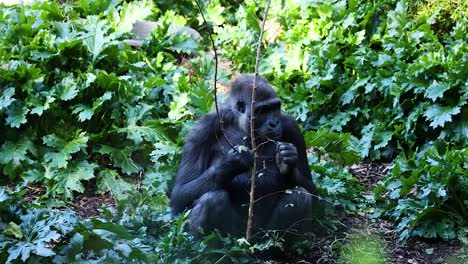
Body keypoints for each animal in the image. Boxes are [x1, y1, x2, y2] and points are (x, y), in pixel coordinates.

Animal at [170, 75, 316, 239]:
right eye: (261, 110)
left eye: (275, 107)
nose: (274, 123)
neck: (240, 123)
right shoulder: (202, 129)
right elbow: (179, 196)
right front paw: (231, 163)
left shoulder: (291, 126)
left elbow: (312, 191)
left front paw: (287, 163)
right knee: (212, 199)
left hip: (265, 235)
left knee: (299, 195)